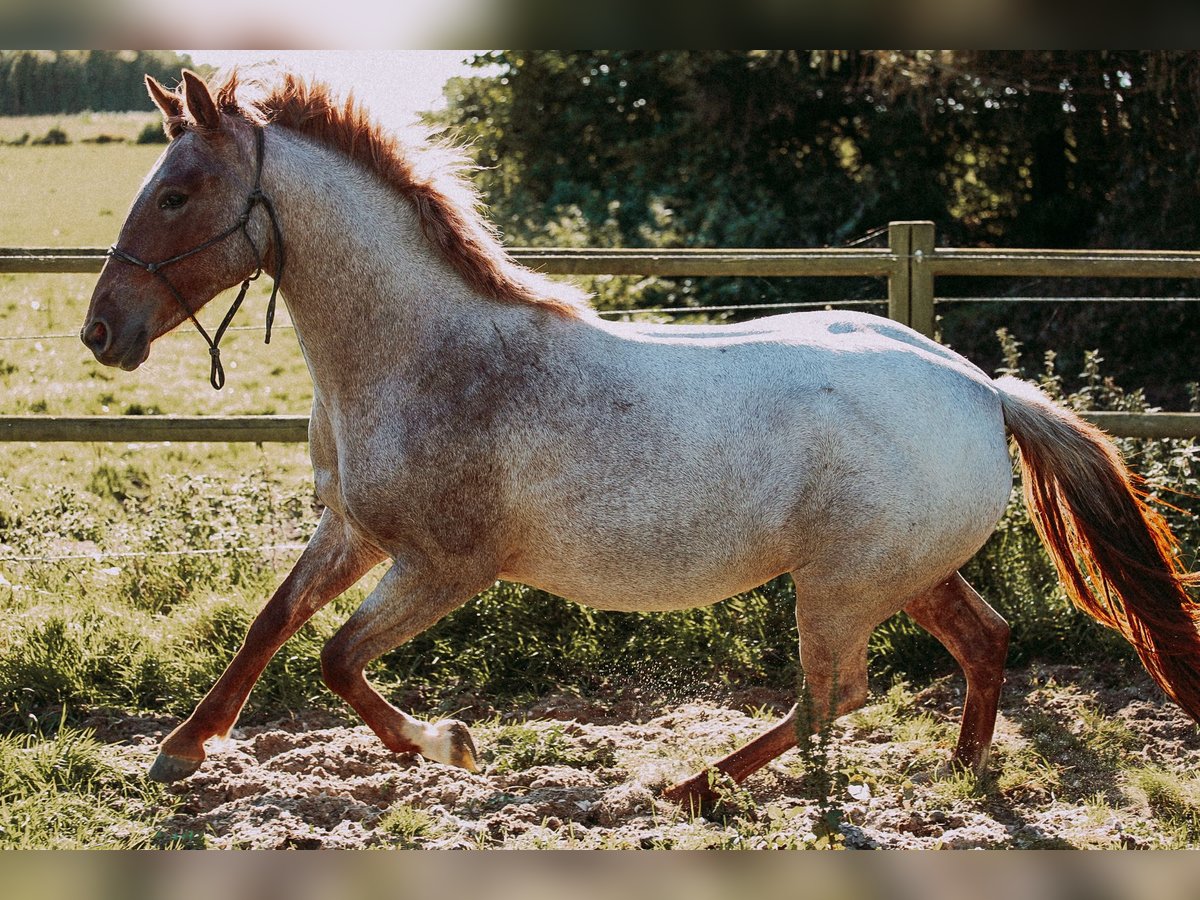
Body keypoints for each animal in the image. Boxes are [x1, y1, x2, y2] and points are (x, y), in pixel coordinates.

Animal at [79, 70, 1195, 811]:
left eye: (176, 193)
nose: (100, 331)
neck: (422, 354)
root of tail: (983, 390)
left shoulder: (446, 565)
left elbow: (338, 659)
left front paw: (451, 745)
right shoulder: (352, 532)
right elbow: (272, 626)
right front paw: (180, 750)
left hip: (840, 585)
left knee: (839, 690)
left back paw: (693, 788)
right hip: (907, 573)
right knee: (981, 642)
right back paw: (956, 778)